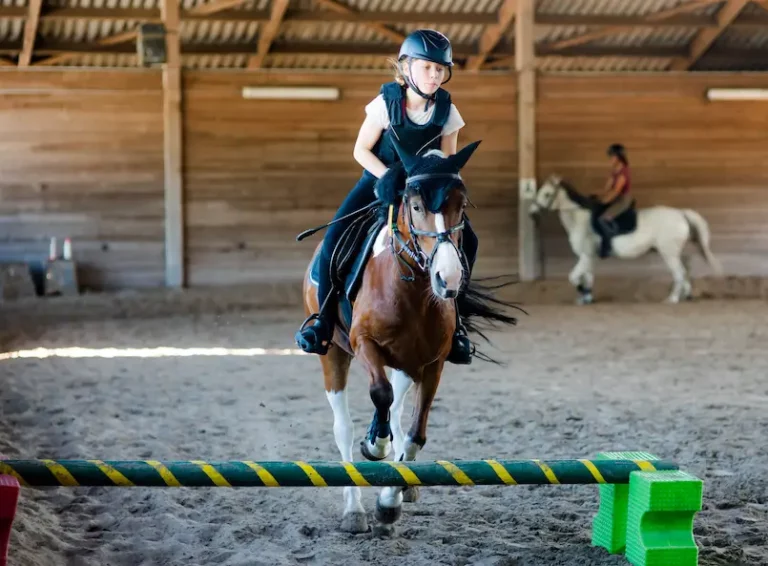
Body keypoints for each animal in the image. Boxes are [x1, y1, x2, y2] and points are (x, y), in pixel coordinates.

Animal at [298, 140, 520, 534]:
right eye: (415, 206)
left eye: (461, 205)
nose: (448, 279)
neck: (411, 288)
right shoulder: (363, 343)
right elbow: (379, 394)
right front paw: (377, 448)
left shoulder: (433, 363)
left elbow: (416, 431)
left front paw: (390, 500)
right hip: (334, 353)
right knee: (345, 426)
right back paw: (355, 508)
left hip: (406, 362)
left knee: (398, 410)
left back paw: (402, 481)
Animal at [529, 174, 722, 305]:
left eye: (547, 194)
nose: (532, 212)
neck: (579, 219)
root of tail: (680, 213)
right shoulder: (590, 258)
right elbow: (588, 277)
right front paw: (587, 297)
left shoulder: (586, 256)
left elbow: (574, 277)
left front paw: (583, 294)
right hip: (674, 252)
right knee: (686, 268)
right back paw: (687, 294)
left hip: (669, 253)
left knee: (679, 272)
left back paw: (672, 299)